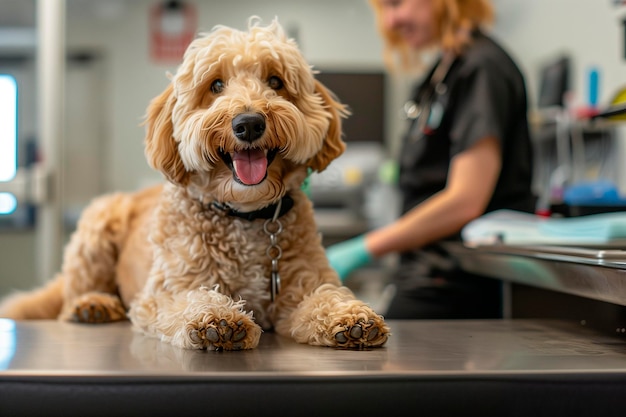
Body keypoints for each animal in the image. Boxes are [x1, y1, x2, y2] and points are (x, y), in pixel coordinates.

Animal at [0, 18, 388, 352]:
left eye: (276, 82)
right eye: (215, 85)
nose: (248, 123)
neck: (244, 215)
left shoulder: (302, 283)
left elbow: (323, 296)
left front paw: (349, 317)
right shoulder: (162, 292)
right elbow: (187, 298)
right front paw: (216, 317)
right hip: (97, 224)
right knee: (74, 294)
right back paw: (92, 303)